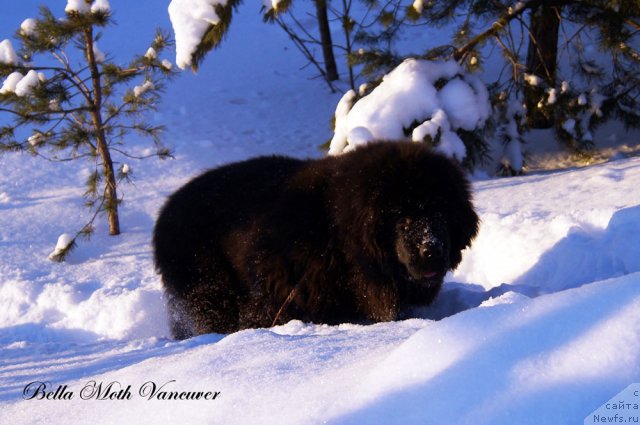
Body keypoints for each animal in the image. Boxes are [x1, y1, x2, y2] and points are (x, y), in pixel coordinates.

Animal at [152, 142, 478, 338]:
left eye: (440, 213)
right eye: (402, 219)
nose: (431, 249)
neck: (336, 232)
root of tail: (166, 212)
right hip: (208, 292)